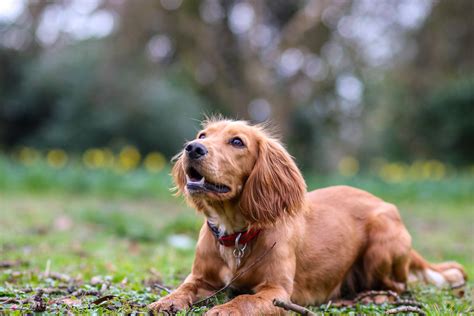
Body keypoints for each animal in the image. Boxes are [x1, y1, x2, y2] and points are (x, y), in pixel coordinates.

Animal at [149, 119, 466, 316]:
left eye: (237, 142)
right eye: (203, 136)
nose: (192, 147)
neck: (236, 233)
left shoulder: (276, 291)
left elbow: (245, 300)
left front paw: (225, 309)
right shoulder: (200, 278)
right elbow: (183, 288)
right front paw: (166, 301)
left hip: (381, 244)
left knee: (399, 286)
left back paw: (372, 296)